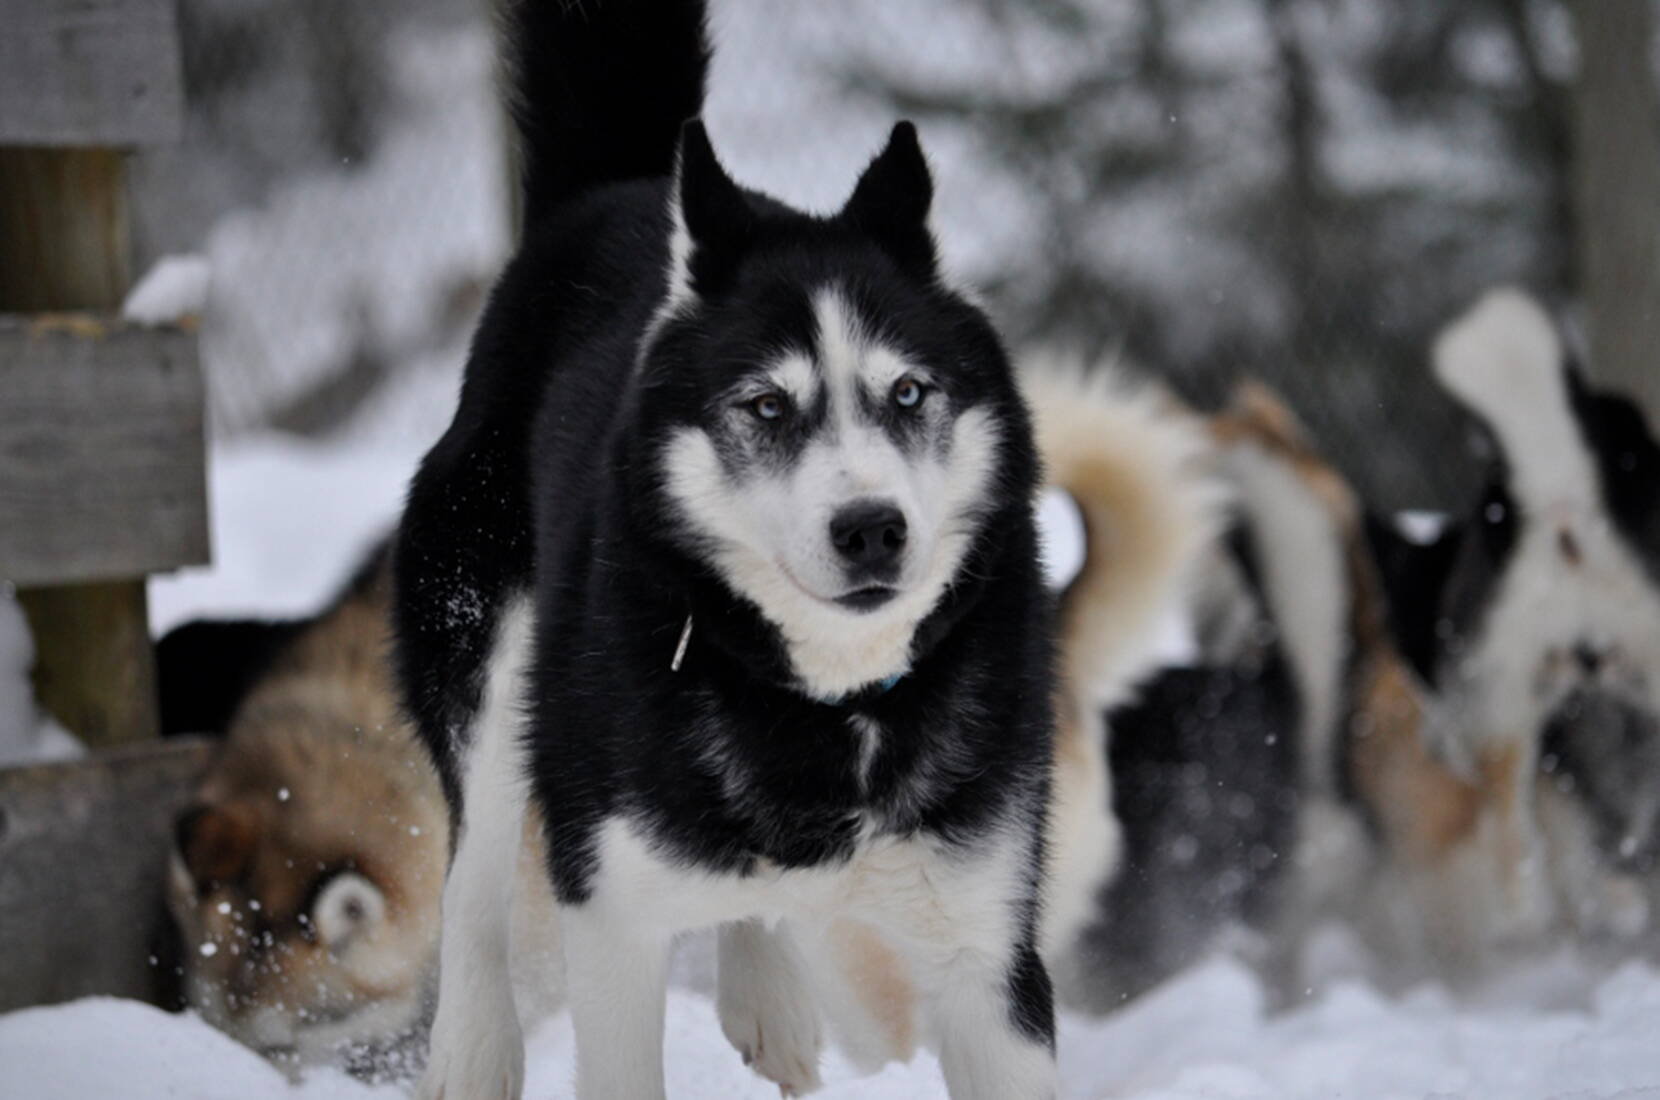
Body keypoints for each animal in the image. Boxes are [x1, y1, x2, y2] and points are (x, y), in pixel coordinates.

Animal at [395, 2, 1055, 1100]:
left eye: (907, 392)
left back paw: (768, 995)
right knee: (472, 878)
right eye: (767, 406)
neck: (829, 706)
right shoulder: (611, 912)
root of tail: (616, 191)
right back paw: (471, 1051)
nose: (873, 527)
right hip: (487, 663)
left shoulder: (989, 953)